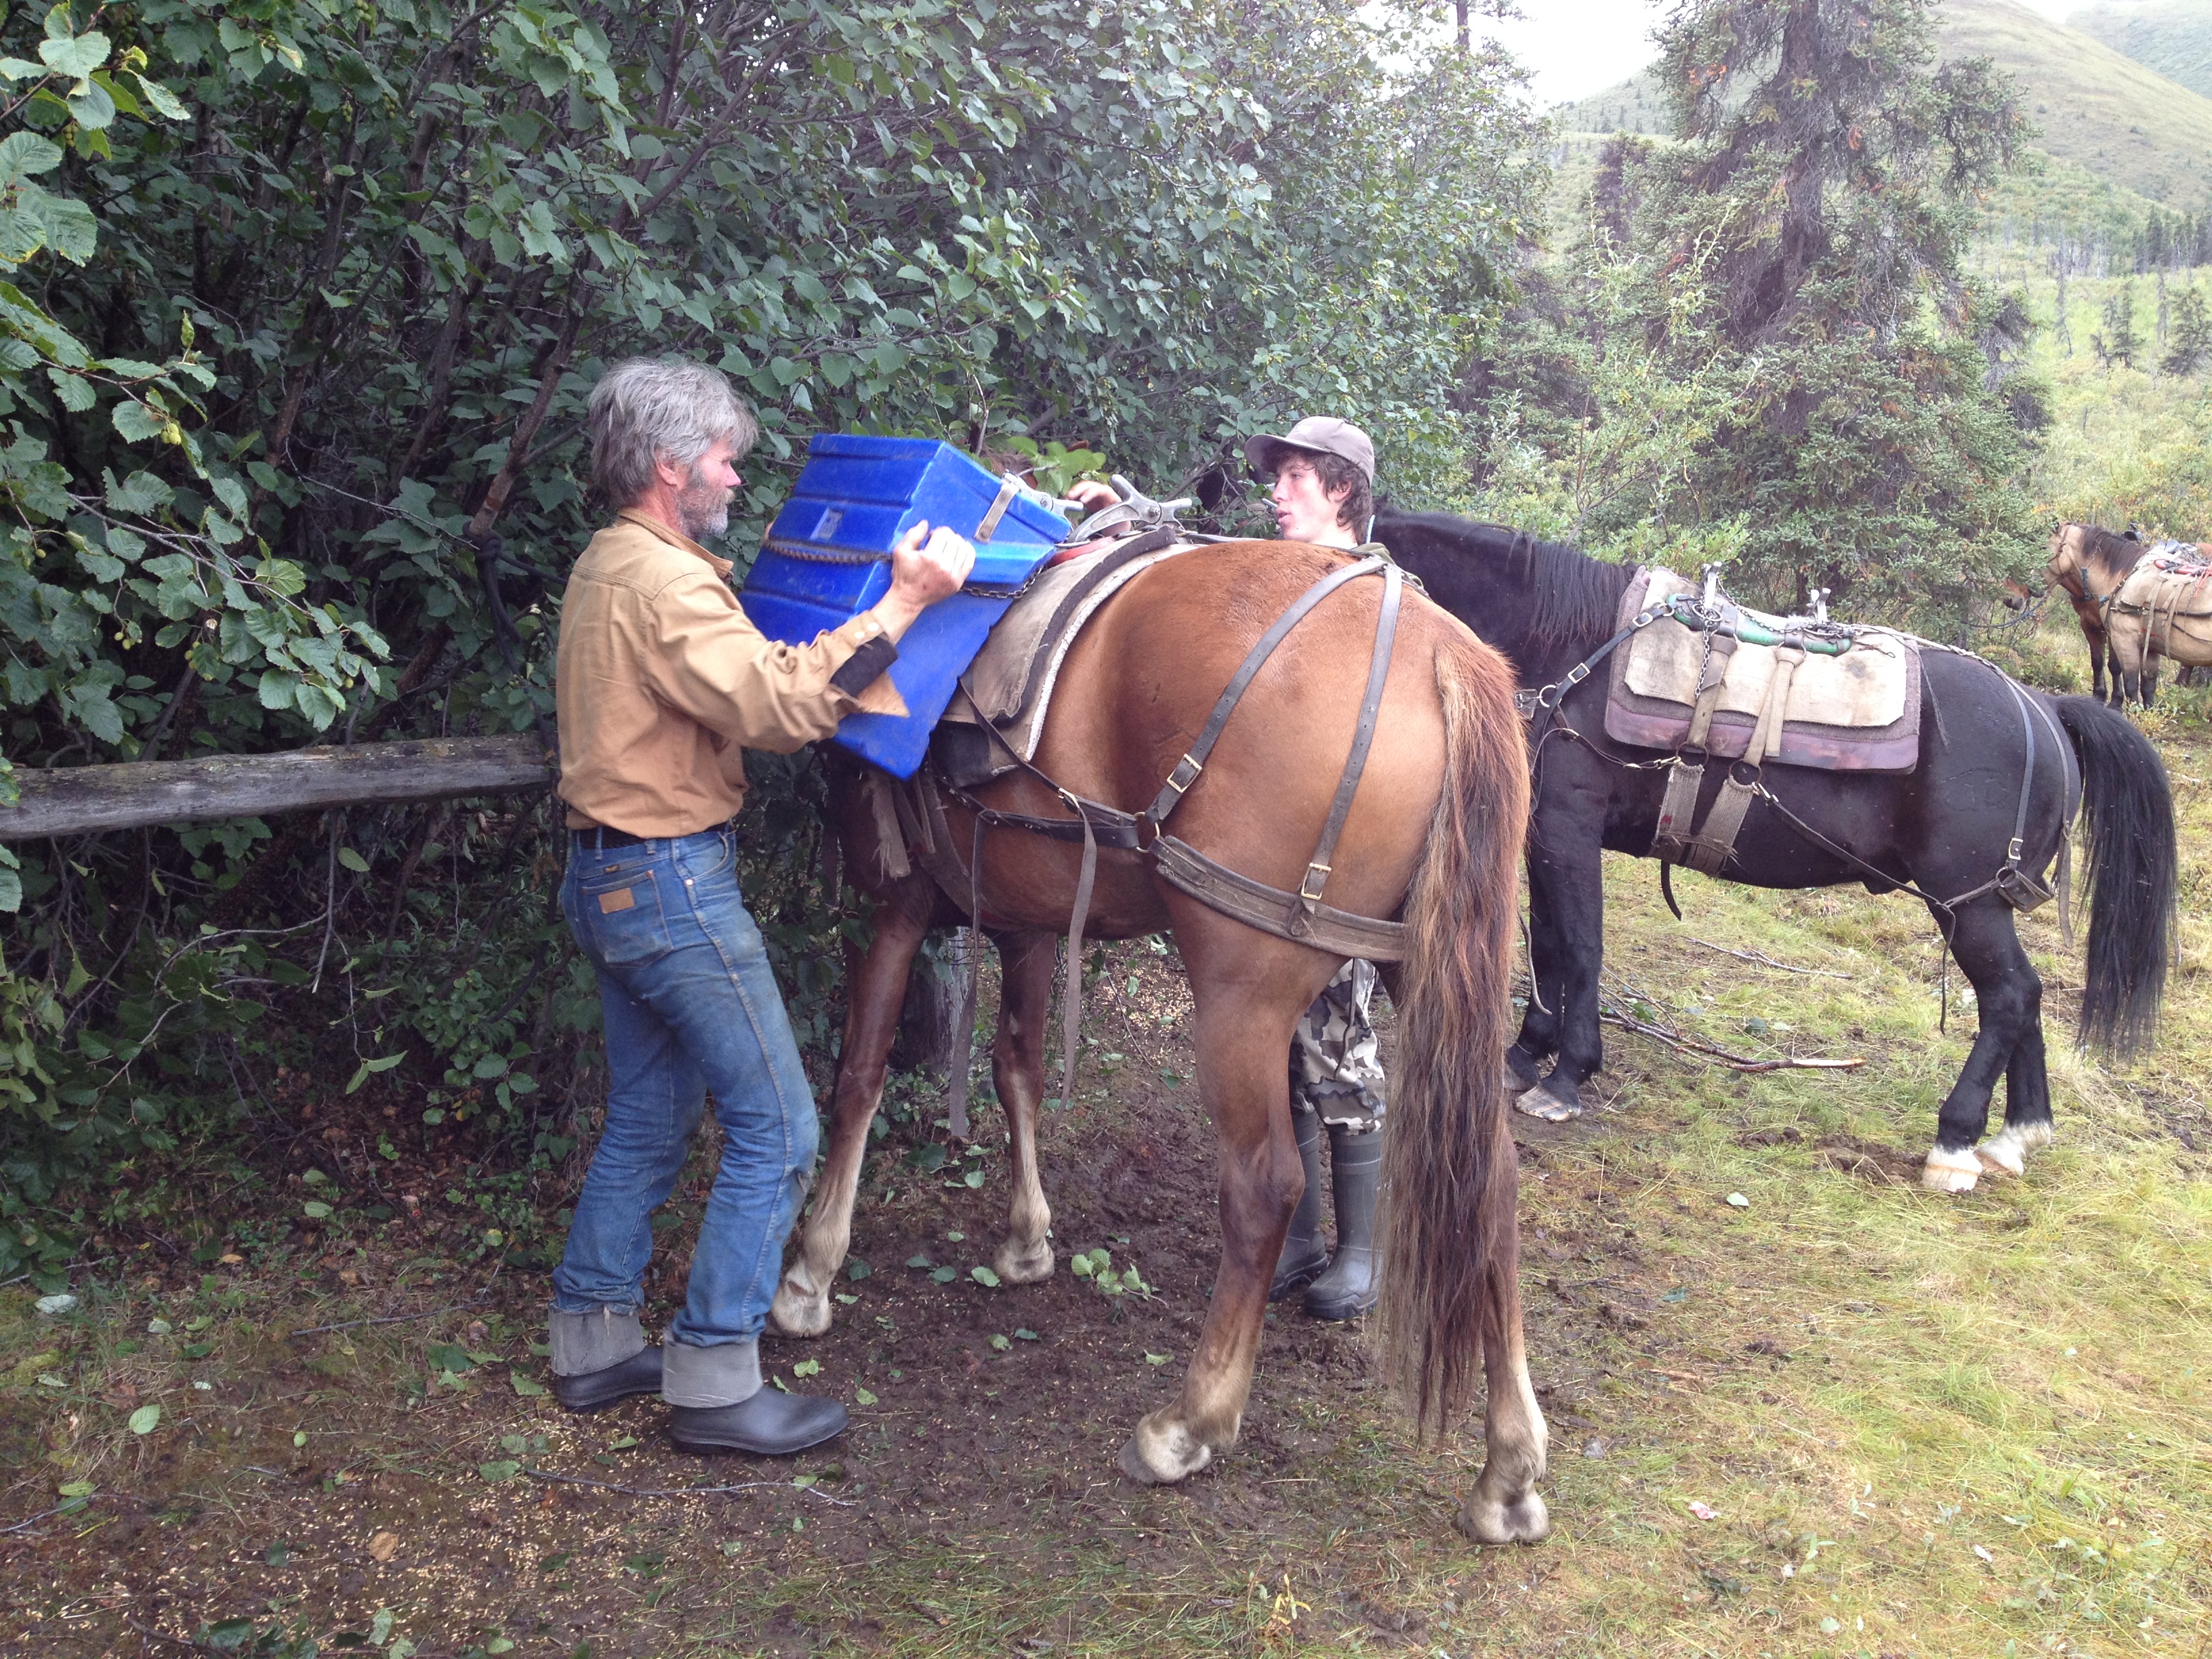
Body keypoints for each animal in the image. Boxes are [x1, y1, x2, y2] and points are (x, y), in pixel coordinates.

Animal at [769, 541, 1548, 1548]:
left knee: (1266, 1186)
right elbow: (1016, 1069)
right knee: (1489, 1182)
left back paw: (1191, 1423)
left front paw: (811, 1274)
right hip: (1434, 972)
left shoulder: (891, 906)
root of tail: (1440, 651)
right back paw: (1509, 1466)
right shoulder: (1029, 919)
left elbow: (858, 1075)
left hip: (1243, 989)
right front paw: (1026, 1240)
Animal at [1380, 510, 2176, 1194]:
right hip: (1984, 908)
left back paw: (1955, 1143)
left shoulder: (1569, 827)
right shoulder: (1544, 830)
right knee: (2028, 995)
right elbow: (1547, 944)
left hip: (1967, 905)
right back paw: (2017, 1135)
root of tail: (2048, 709)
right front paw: (1524, 1055)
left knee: (2009, 995)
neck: (1572, 653)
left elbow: (1578, 948)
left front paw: (1567, 1074)